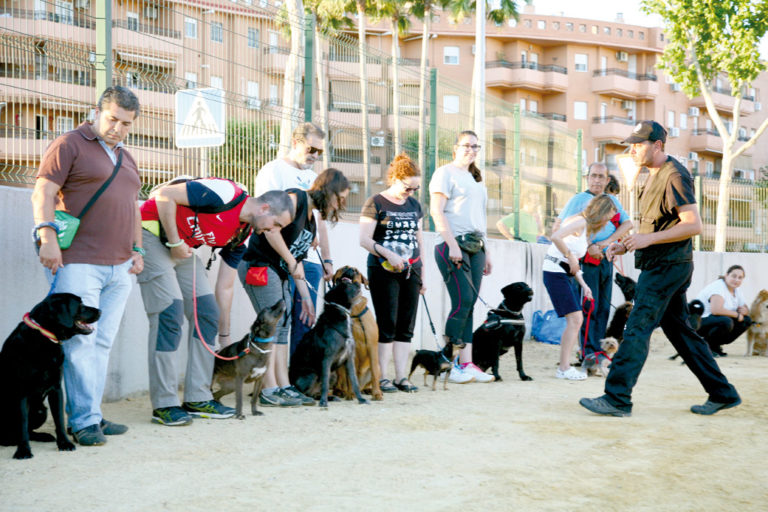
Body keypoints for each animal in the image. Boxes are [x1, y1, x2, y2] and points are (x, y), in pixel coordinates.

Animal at [0, 292, 100, 460]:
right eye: (80, 305)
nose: (100, 311)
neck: (43, 337)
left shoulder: (56, 389)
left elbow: (59, 420)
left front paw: (64, 443)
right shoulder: (22, 394)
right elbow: (22, 425)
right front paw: (23, 450)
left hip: (41, 410)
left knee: (31, 431)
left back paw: (42, 436)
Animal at [290, 276, 370, 408]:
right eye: (347, 285)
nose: (358, 283)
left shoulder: (349, 359)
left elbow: (354, 381)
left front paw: (361, 399)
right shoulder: (327, 359)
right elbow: (325, 383)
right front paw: (323, 402)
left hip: (334, 375)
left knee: (315, 393)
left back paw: (330, 397)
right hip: (311, 374)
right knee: (306, 393)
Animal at [328, 266, 382, 402]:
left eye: (356, 272)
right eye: (342, 268)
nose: (350, 269)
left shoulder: (372, 345)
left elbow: (374, 372)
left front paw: (377, 393)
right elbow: (349, 377)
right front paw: (350, 393)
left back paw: (368, 389)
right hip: (340, 366)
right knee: (342, 381)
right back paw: (341, 391)